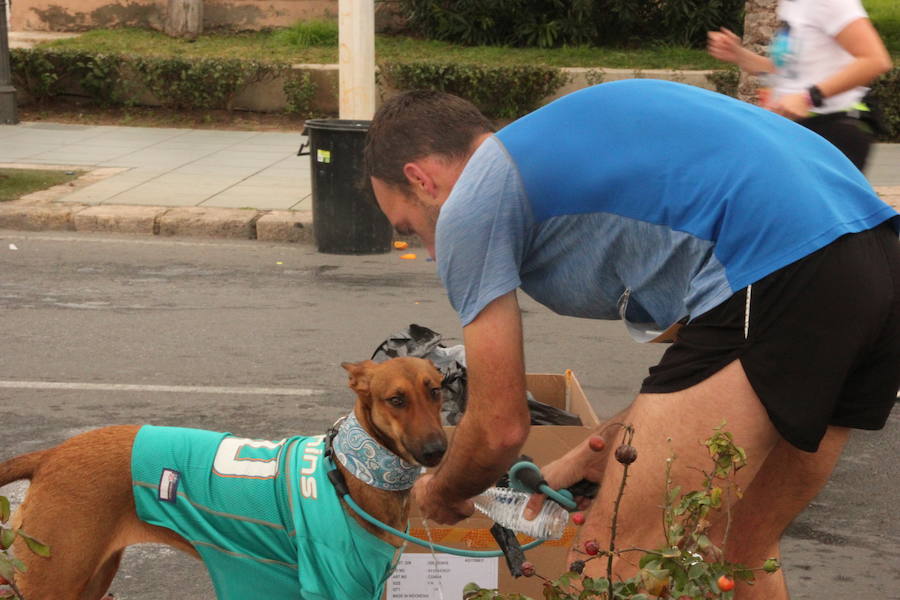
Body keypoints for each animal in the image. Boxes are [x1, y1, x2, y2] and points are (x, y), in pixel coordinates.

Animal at [0, 358, 448, 596]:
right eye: (396, 399)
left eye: (436, 390)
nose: (437, 450)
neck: (351, 470)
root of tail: (51, 454)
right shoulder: (333, 586)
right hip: (51, 582)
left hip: (90, 580)